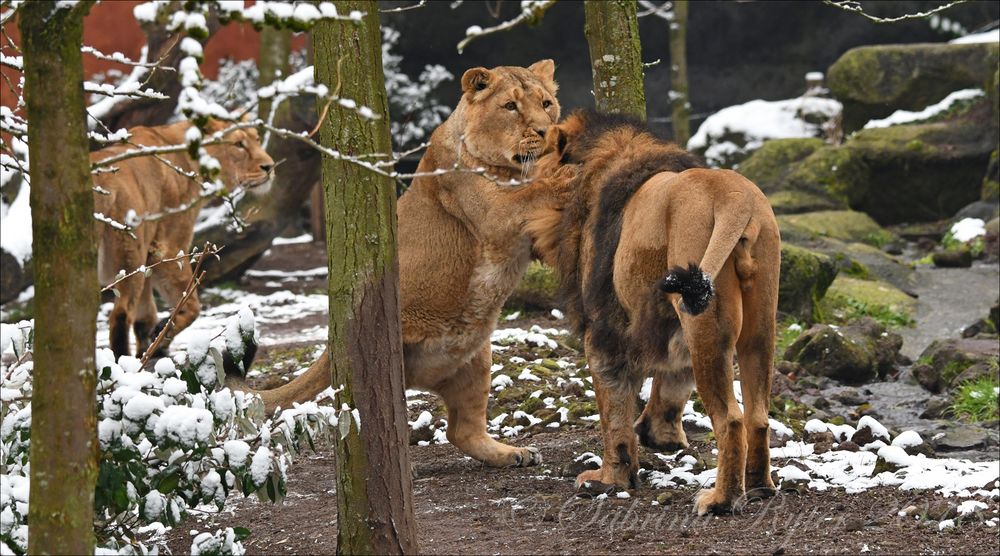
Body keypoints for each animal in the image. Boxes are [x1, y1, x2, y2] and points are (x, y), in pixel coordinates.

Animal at [93, 119, 272, 358]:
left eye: (257, 139)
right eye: (238, 144)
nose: (270, 167)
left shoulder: (149, 258)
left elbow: (145, 316)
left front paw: (152, 346)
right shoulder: (168, 247)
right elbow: (192, 304)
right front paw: (161, 335)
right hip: (130, 257)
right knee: (120, 315)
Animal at [228, 60, 572, 470]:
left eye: (547, 103)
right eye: (510, 107)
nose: (547, 131)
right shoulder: (495, 215)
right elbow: (531, 194)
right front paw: (568, 173)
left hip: (478, 359)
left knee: (462, 431)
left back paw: (512, 454)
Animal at [524, 111, 780, 516]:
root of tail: (733, 196)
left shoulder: (604, 332)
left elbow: (613, 414)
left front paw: (609, 479)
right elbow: (673, 380)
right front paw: (660, 435)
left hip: (703, 320)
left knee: (731, 420)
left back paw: (720, 500)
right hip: (757, 323)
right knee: (758, 416)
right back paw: (758, 487)